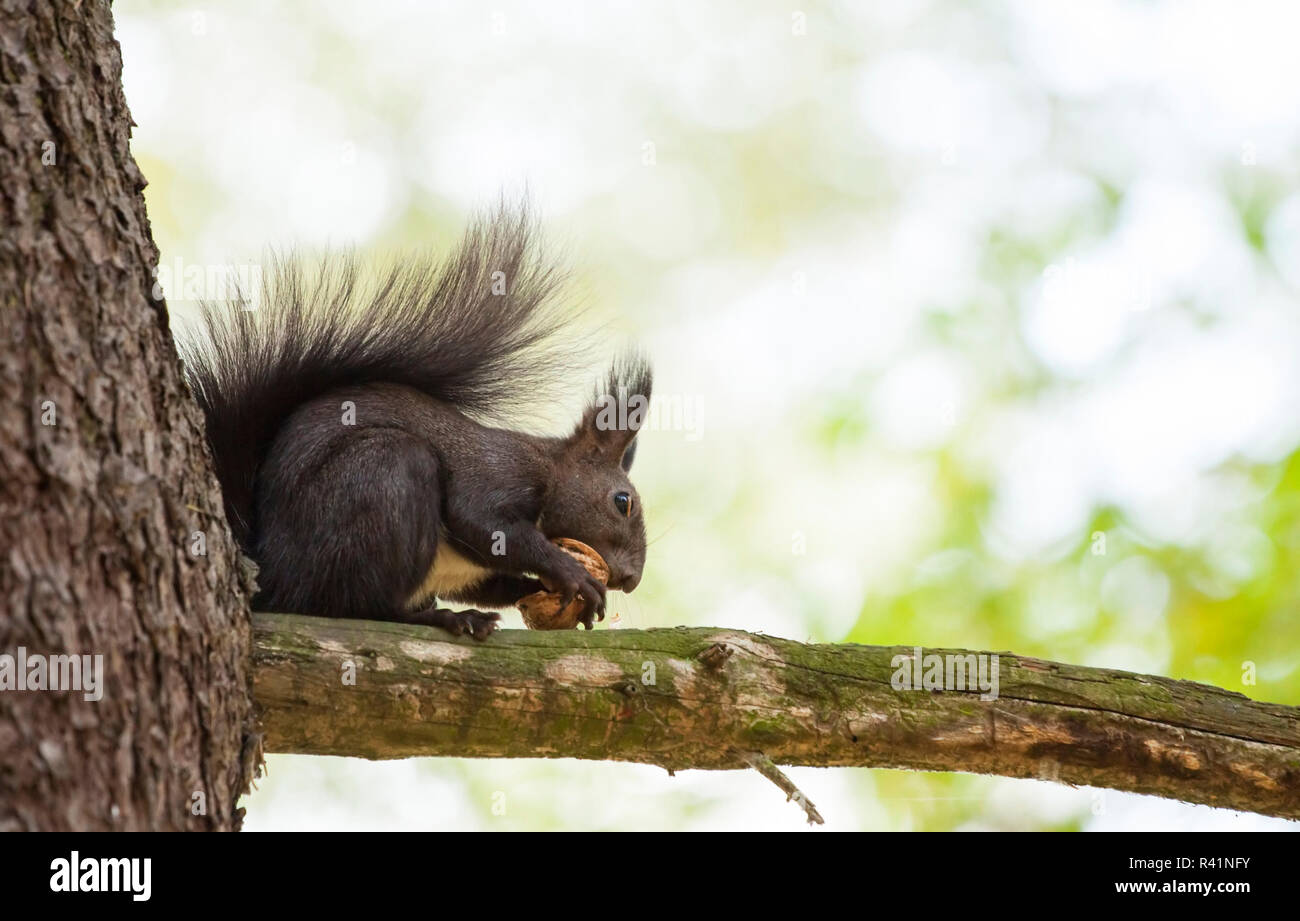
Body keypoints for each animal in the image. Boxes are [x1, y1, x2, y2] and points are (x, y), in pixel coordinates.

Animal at [180, 204, 651, 641]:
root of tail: (273, 574)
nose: (631, 580)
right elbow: (482, 522)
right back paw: (442, 618)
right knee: (358, 606)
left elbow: (492, 579)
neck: (549, 469)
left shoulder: (469, 570)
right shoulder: (497, 472)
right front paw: (571, 573)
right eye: (622, 502)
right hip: (385, 473)